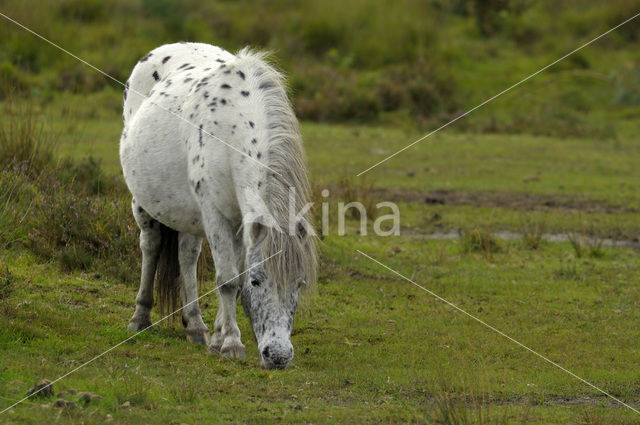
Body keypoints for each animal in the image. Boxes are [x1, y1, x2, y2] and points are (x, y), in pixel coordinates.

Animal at [119, 43, 316, 368]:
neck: (231, 129)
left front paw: (217, 337)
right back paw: (139, 317)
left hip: (189, 214)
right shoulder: (216, 215)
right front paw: (231, 344)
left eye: (299, 284)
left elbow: (228, 279)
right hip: (146, 205)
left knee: (187, 256)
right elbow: (228, 280)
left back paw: (195, 326)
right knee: (150, 246)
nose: (278, 356)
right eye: (256, 281)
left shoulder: (238, 222)